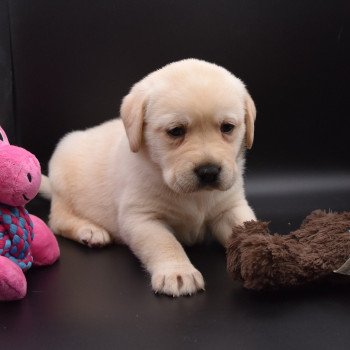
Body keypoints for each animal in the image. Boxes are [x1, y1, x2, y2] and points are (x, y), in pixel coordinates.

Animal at [42, 58, 258, 296]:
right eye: (175, 131)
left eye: (227, 127)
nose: (208, 172)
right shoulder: (141, 217)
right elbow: (164, 242)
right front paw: (178, 272)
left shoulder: (230, 207)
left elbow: (247, 228)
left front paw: (262, 253)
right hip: (62, 181)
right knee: (58, 220)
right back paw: (89, 231)